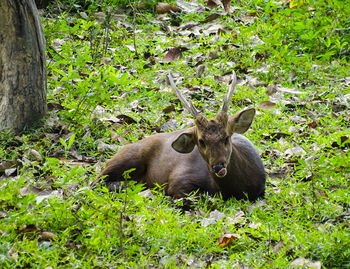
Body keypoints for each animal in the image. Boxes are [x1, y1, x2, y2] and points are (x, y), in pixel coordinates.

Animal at [93, 71, 266, 201]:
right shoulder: (179, 179)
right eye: (201, 141)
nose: (219, 167)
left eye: (226, 137)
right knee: (96, 181)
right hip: (127, 158)